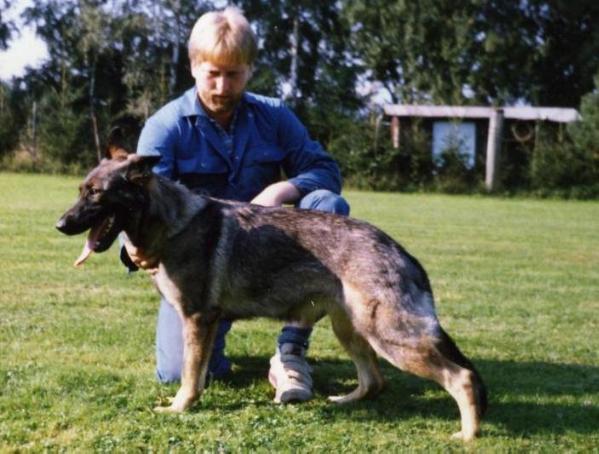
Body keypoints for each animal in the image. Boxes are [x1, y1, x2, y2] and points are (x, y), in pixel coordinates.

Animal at [56, 155, 488, 440]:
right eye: (80, 191)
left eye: (96, 194)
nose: (60, 224)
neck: (170, 223)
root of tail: (400, 251)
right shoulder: (205, 325)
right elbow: (199, 373)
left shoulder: (197, 320)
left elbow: (190, 377)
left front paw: (179, 407)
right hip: (351, 331)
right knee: (374, 380)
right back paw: (344, 400)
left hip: (389, 337)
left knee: (461, 377)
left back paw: (468, 435)